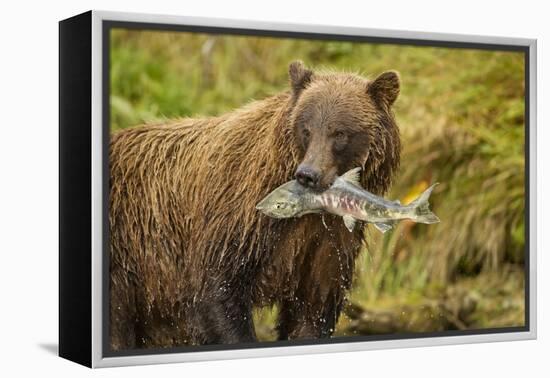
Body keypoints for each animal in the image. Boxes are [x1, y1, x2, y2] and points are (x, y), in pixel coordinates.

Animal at [109, 61, 402, 348]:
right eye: (306, 129)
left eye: (339, 133)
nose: (308, 174)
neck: (312, 211)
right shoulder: (237, 216)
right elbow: (218, 291)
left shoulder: (329, 241)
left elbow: (314, 307)